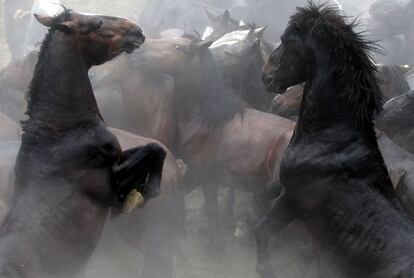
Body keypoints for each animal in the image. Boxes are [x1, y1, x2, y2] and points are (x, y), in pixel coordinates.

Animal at [0, 8, 168, 278]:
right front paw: (144, 192)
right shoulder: (108, 184)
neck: (61, 132)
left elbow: (157, 149)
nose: (137, 30)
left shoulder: (118, 157)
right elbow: (151, 150)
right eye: (97, 24)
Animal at [256, 2, 414, 278]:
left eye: (286, 40)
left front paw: (265, 268)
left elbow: (259, 231)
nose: (266, 76)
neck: (331, 141)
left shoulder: (292, 203)